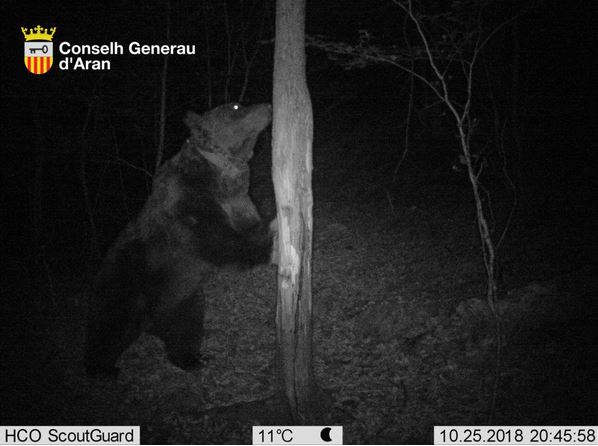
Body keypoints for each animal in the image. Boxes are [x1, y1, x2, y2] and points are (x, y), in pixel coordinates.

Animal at [85, 103, 276, 376]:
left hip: (182, 297)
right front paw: (271, 241)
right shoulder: (186, 203)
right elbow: (218, 240)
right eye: (236, 106)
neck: (220, 173)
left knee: (186, 329)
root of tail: (149, 322)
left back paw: (193, 359)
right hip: (122, 283)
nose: (267, 105)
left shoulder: (238, 200)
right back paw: (102, 369)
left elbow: (246, 223)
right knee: (107, 328)